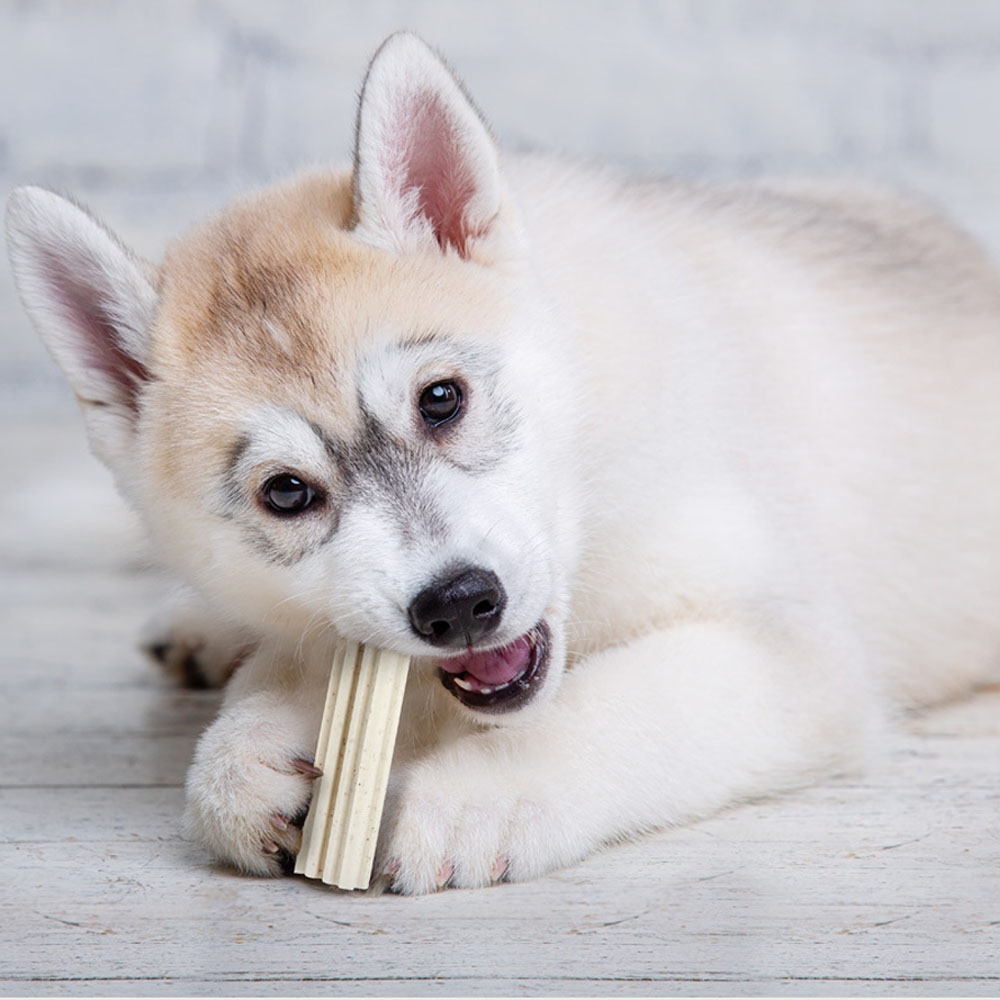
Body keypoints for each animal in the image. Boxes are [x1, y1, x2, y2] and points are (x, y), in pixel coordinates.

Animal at [7, 31, 1000, 896]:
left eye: (441, 399)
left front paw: (474, 797)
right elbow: (284, 682)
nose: (457, 604)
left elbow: (606, 708)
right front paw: (243, 757)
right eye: (286, 493)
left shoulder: (784, 648)